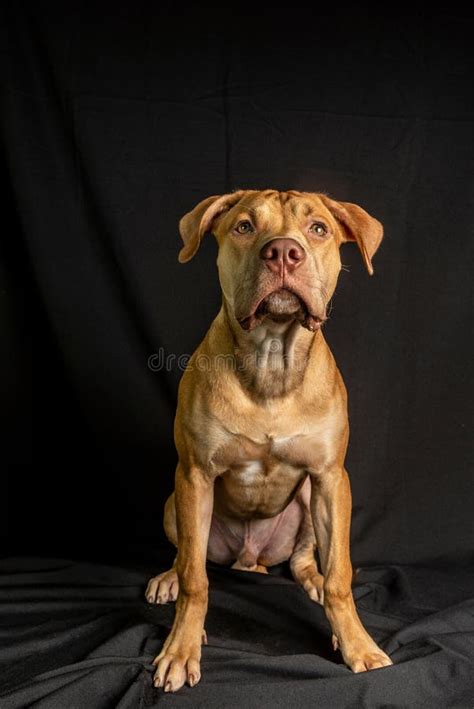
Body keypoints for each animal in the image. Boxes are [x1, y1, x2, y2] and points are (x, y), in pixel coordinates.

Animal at [144, 189, 392, 692]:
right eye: (244, 226)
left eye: (318, 229)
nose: (282, 252)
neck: (272, 359)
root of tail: (249, 558)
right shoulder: (194, 474)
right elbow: (197, 578)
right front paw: (180, 648)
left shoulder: (330, 477)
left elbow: (341, 577)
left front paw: (357, 644)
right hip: (174, 501)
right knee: (185, 556)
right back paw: (167, 577)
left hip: (308, 502)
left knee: (303, 559)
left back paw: (312, 579)